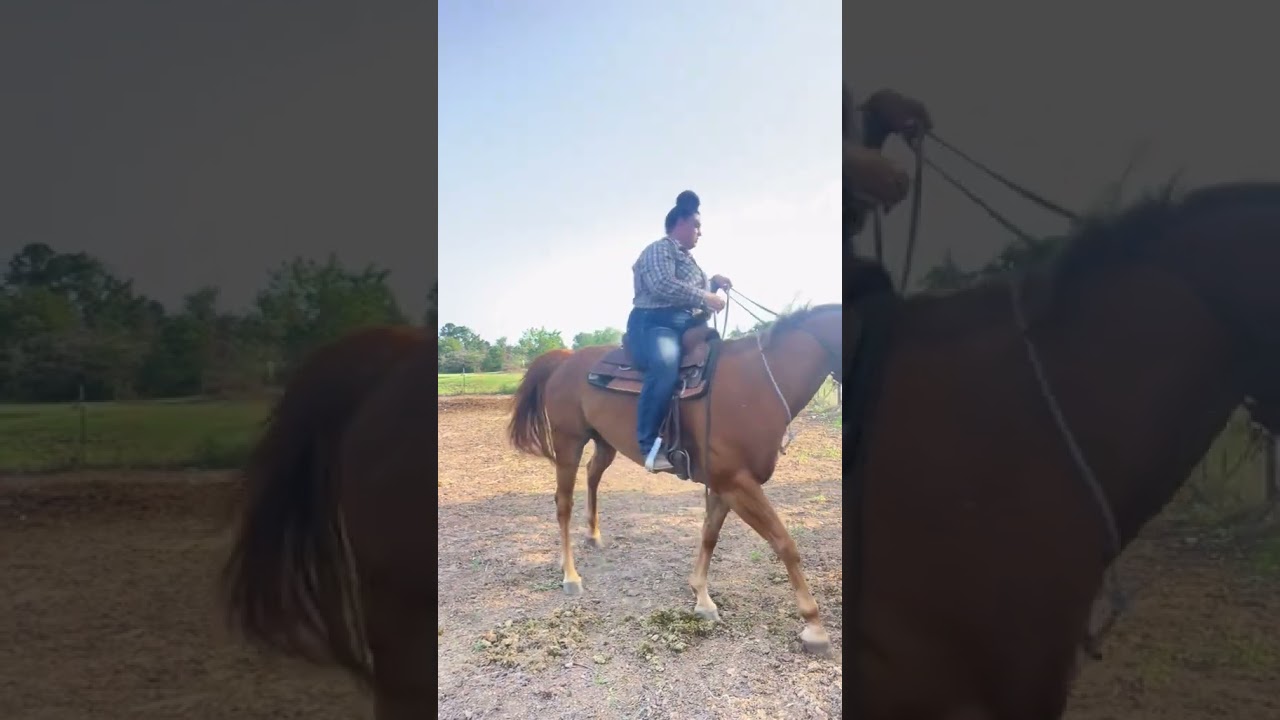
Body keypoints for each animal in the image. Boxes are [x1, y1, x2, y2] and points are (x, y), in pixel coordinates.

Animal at [507, 304, 843, 654]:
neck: (758, 382)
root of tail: (566, 358)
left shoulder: (724, 485)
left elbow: (709, 534)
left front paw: (701, 596)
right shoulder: (738, 483)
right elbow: (784, 543)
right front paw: (814, 625)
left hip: (604, 443)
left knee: (592, 475)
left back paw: (592, 536)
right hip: (568, 443)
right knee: (563, 503)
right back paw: (571, 576)